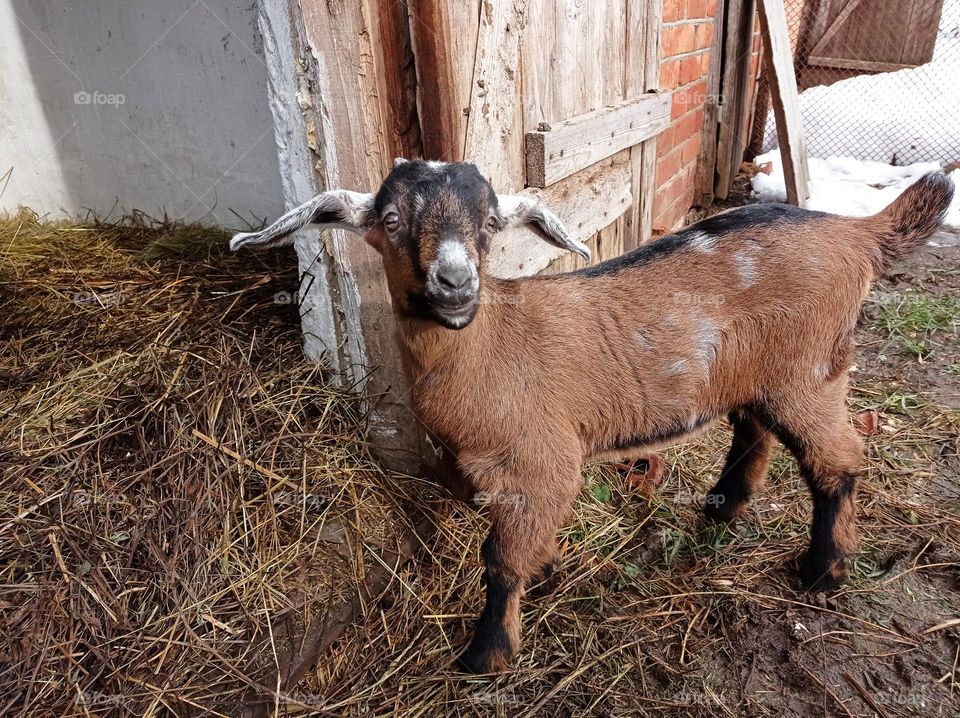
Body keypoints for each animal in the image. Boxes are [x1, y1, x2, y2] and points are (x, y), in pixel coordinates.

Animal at [231, 162, 952, 676]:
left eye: (490, 223)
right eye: (389, 216)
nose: (455, 285)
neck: (489, 345)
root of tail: (855, 232)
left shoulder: (539, 461)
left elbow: (500, 560)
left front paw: (486, 656)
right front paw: (545, 574)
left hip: (812, 370)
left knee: (838, 460)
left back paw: (825, 572)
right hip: (758, 372)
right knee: (755, 431)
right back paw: (723, 508)